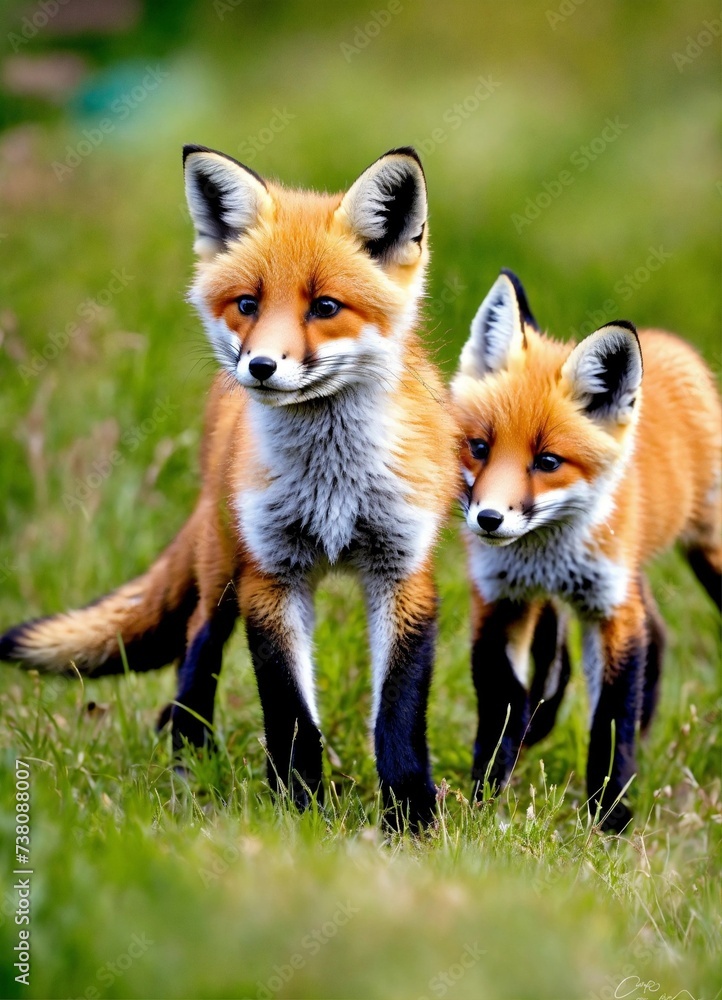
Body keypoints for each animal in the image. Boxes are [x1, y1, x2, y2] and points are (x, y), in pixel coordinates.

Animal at [0, 145, 459, 826]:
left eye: (325, 307)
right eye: (247, 304)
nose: (261, 367)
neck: (333, 485)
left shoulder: (403, 572)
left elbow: (396, 716)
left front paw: (410, 817)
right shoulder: (269, 574)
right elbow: (292, 715)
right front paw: (300, 811)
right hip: (222, 564)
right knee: (196, 654)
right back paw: (188, 766)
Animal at [451, 269, 721, 832]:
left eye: (548, 461)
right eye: (480, 448)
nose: (488, 520)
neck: (544, 557)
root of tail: (670, 343)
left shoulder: (610, 611)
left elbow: (610, 720)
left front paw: (611, 818)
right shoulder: (500, 600)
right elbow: (504, 699)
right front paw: (484, 796)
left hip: (700, 551)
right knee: (644, 637)